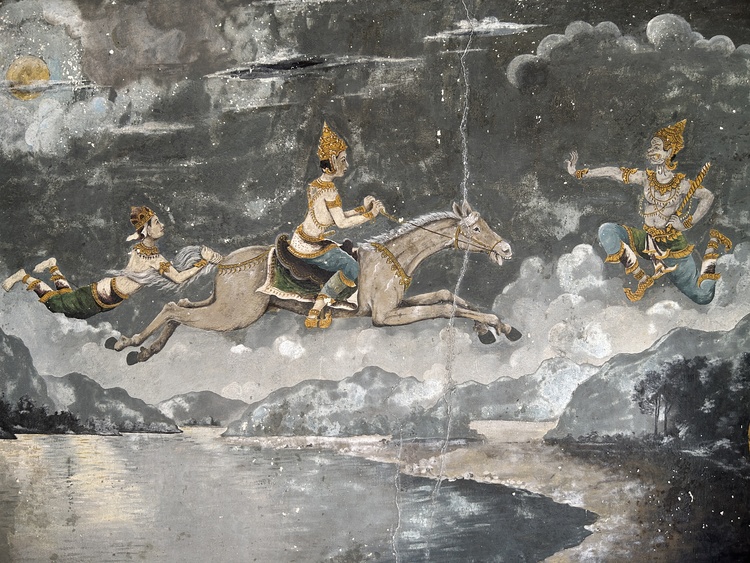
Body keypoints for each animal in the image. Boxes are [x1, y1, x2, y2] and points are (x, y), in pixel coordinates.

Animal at [107, 201, 521, 364]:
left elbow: (448, 294)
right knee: (173, 309)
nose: (506, 248)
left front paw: (498, 327)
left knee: (178, 309)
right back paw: (130, 344)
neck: (393, 258)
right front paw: (493, 326)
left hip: (224, 308)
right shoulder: (385, 318)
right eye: (477, 228)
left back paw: (142, 348)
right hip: (233, 316)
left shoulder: (399, 305)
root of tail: (226, 261)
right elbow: (445, 306)